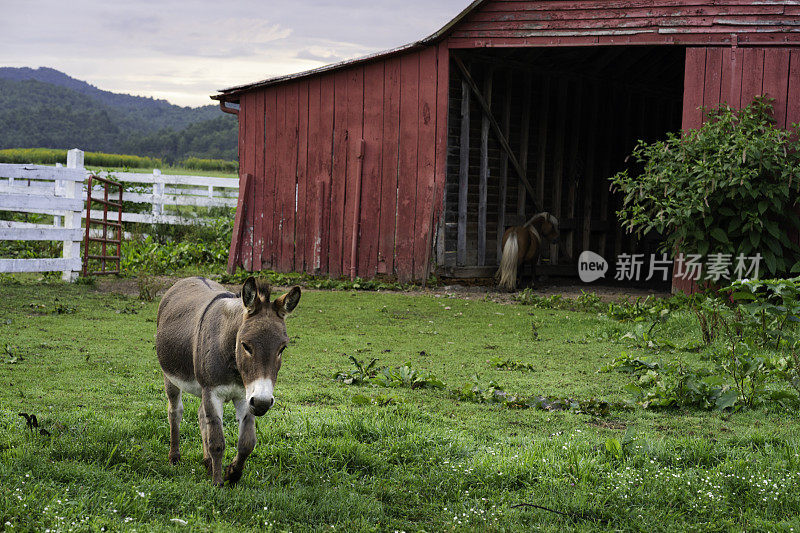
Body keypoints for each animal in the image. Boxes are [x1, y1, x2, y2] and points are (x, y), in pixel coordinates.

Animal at [155, 276, 300, 484]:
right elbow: (217, 442)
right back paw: (174, 457)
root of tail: (192, 278)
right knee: (175, 412)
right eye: (245, 346)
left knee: (201, 415)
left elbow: (247, 442)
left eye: (282, 348)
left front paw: (232, 474)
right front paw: (217, 483)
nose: (263, 403)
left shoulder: (245, 395)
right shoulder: (213, 392)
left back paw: (207, 462)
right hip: (170, 377)